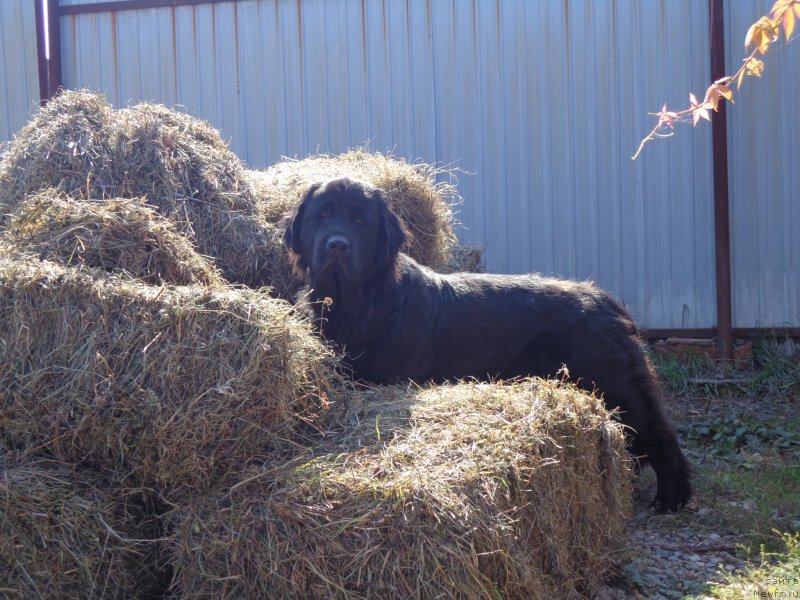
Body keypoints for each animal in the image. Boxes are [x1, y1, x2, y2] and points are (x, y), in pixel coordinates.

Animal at [284, 178, 692, 510]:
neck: (357, 302)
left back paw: (671, 499)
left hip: (614, 380)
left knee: (658, 432)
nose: (337, 246)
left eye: (360, 222)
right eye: (322, 216)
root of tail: (605, 299)